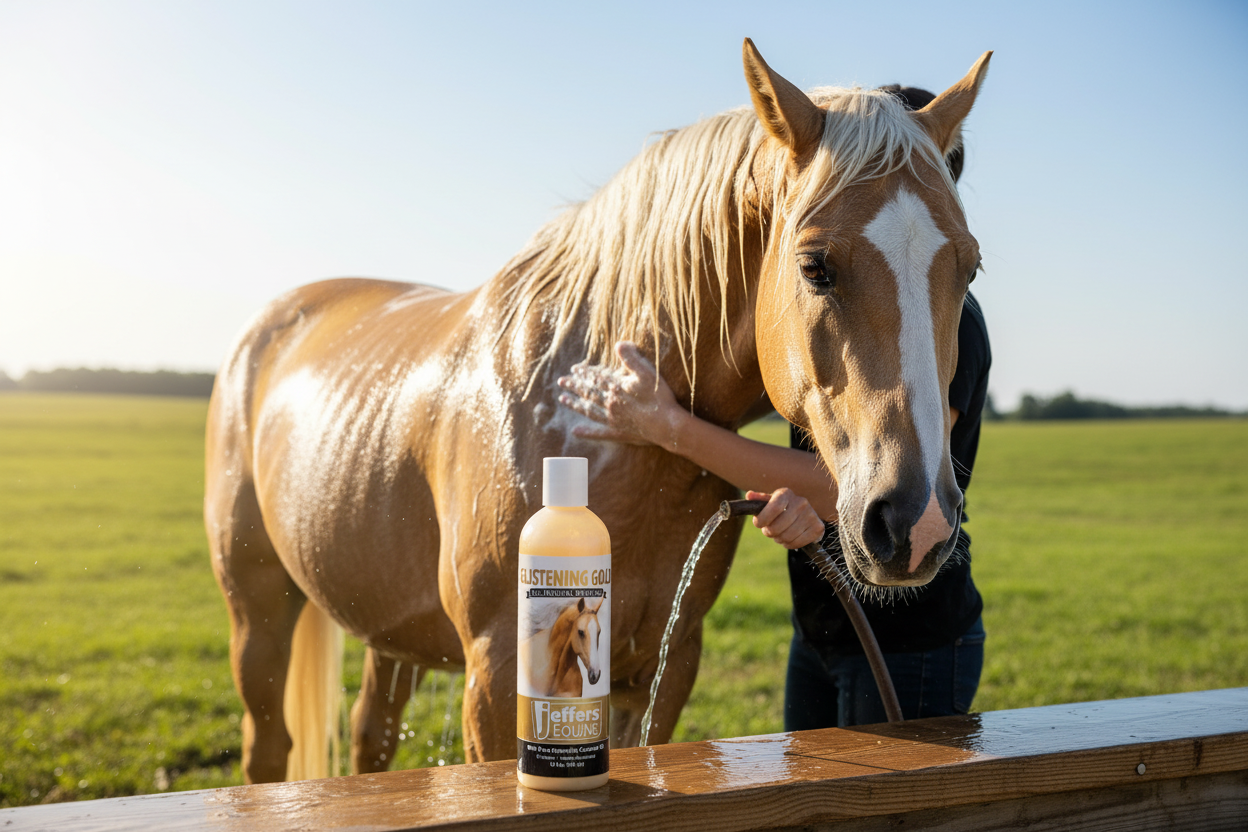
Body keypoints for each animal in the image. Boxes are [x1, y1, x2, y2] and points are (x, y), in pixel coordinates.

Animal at [205, 38, 992, 782]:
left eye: (969, 267)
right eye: (814, 266)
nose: (916, 521)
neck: (587, 421)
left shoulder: (661, 668)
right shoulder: (495, 676)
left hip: (385, 627)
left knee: (370, 736)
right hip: (257, 614)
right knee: (267, 749)